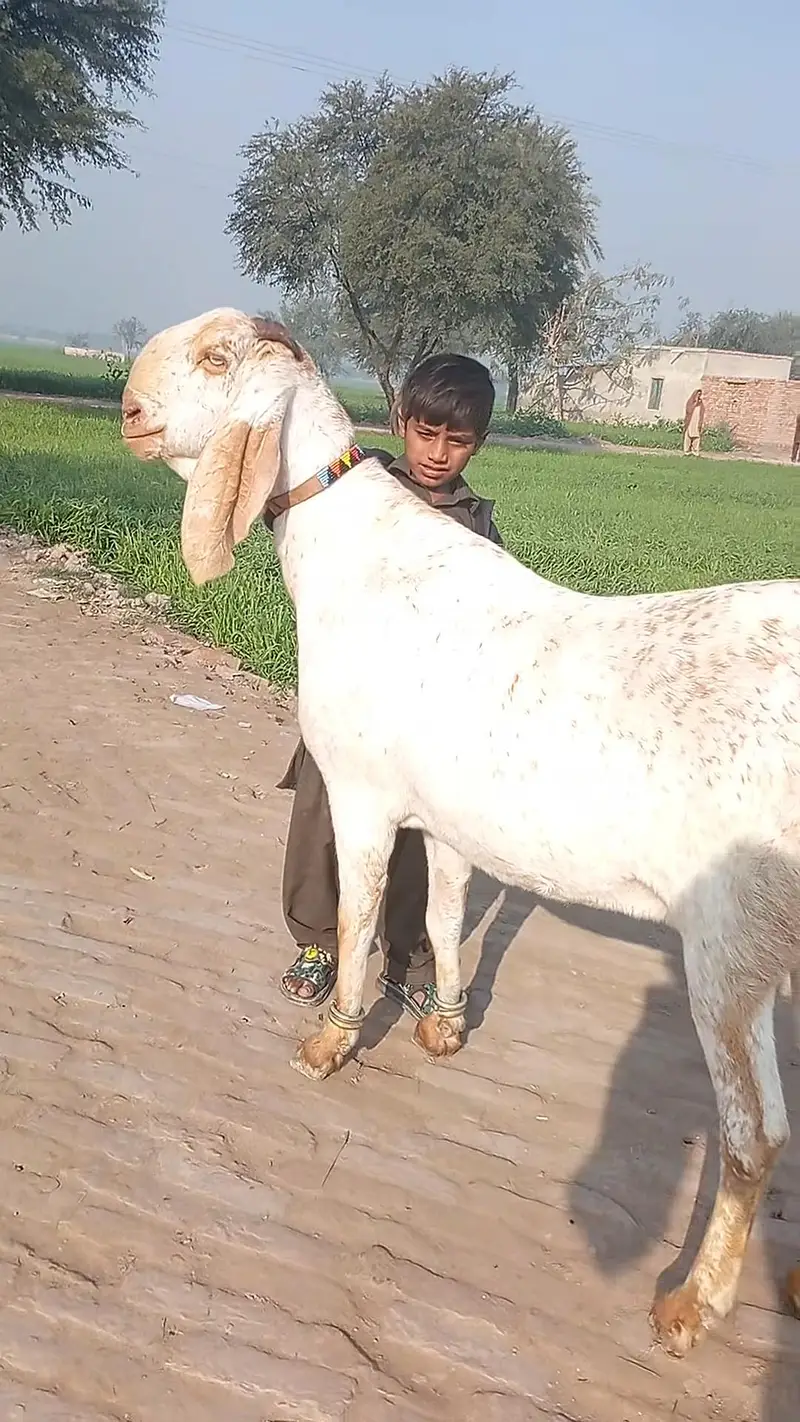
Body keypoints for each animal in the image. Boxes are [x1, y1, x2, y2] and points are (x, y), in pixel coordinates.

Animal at [121, 307, 800, 1358]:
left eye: (216, 357)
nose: (128, 410)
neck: (353, 554)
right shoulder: (444, 816)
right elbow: (441, 914)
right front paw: (440, 1025)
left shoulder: (362, 793)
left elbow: (359, 917)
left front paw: (331, 1042)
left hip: (734, 936)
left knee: (755, 1132)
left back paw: (691, 1307)